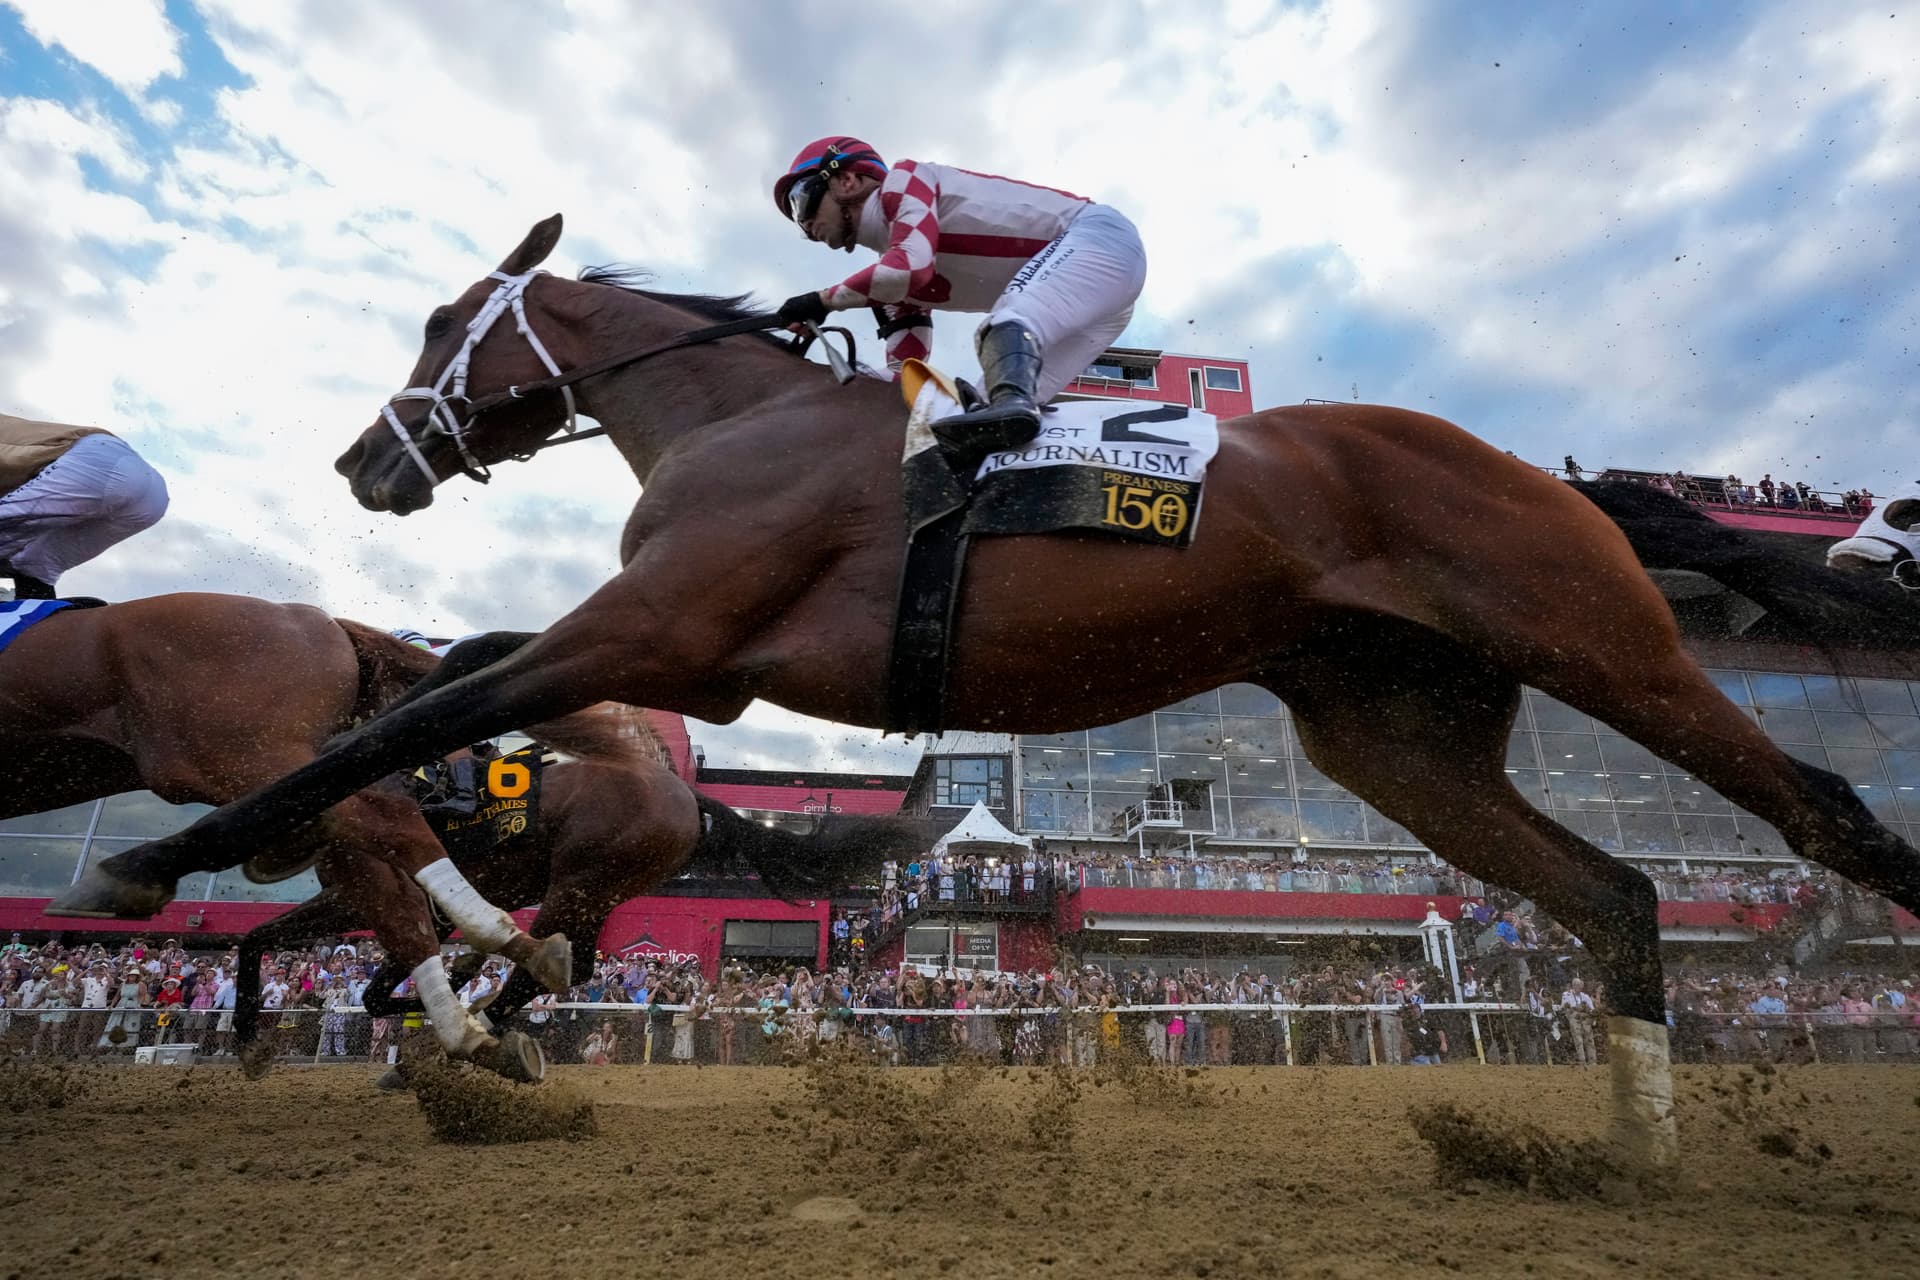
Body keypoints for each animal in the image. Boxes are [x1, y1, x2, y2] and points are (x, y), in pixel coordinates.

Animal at [232, 724, 912, 1081]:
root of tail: (688, 797)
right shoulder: (397, 904)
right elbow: (356, 980)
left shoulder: (373, 893)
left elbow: (275, 947)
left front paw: (246, 1036)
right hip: (596, 893)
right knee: (570, 964)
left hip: (576, 881)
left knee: (548, 967)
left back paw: (481, 1034)